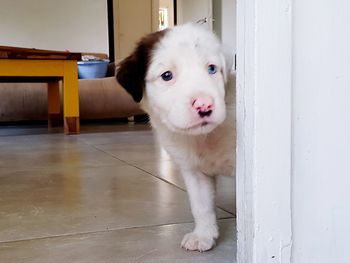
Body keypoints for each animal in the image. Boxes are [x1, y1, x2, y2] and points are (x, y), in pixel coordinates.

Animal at [115, 23, 235, 252]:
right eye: (166, 75)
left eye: (212, 69)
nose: (204, 105)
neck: (204, 137)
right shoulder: (194, 171)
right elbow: (201, 206)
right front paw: (203, 235)